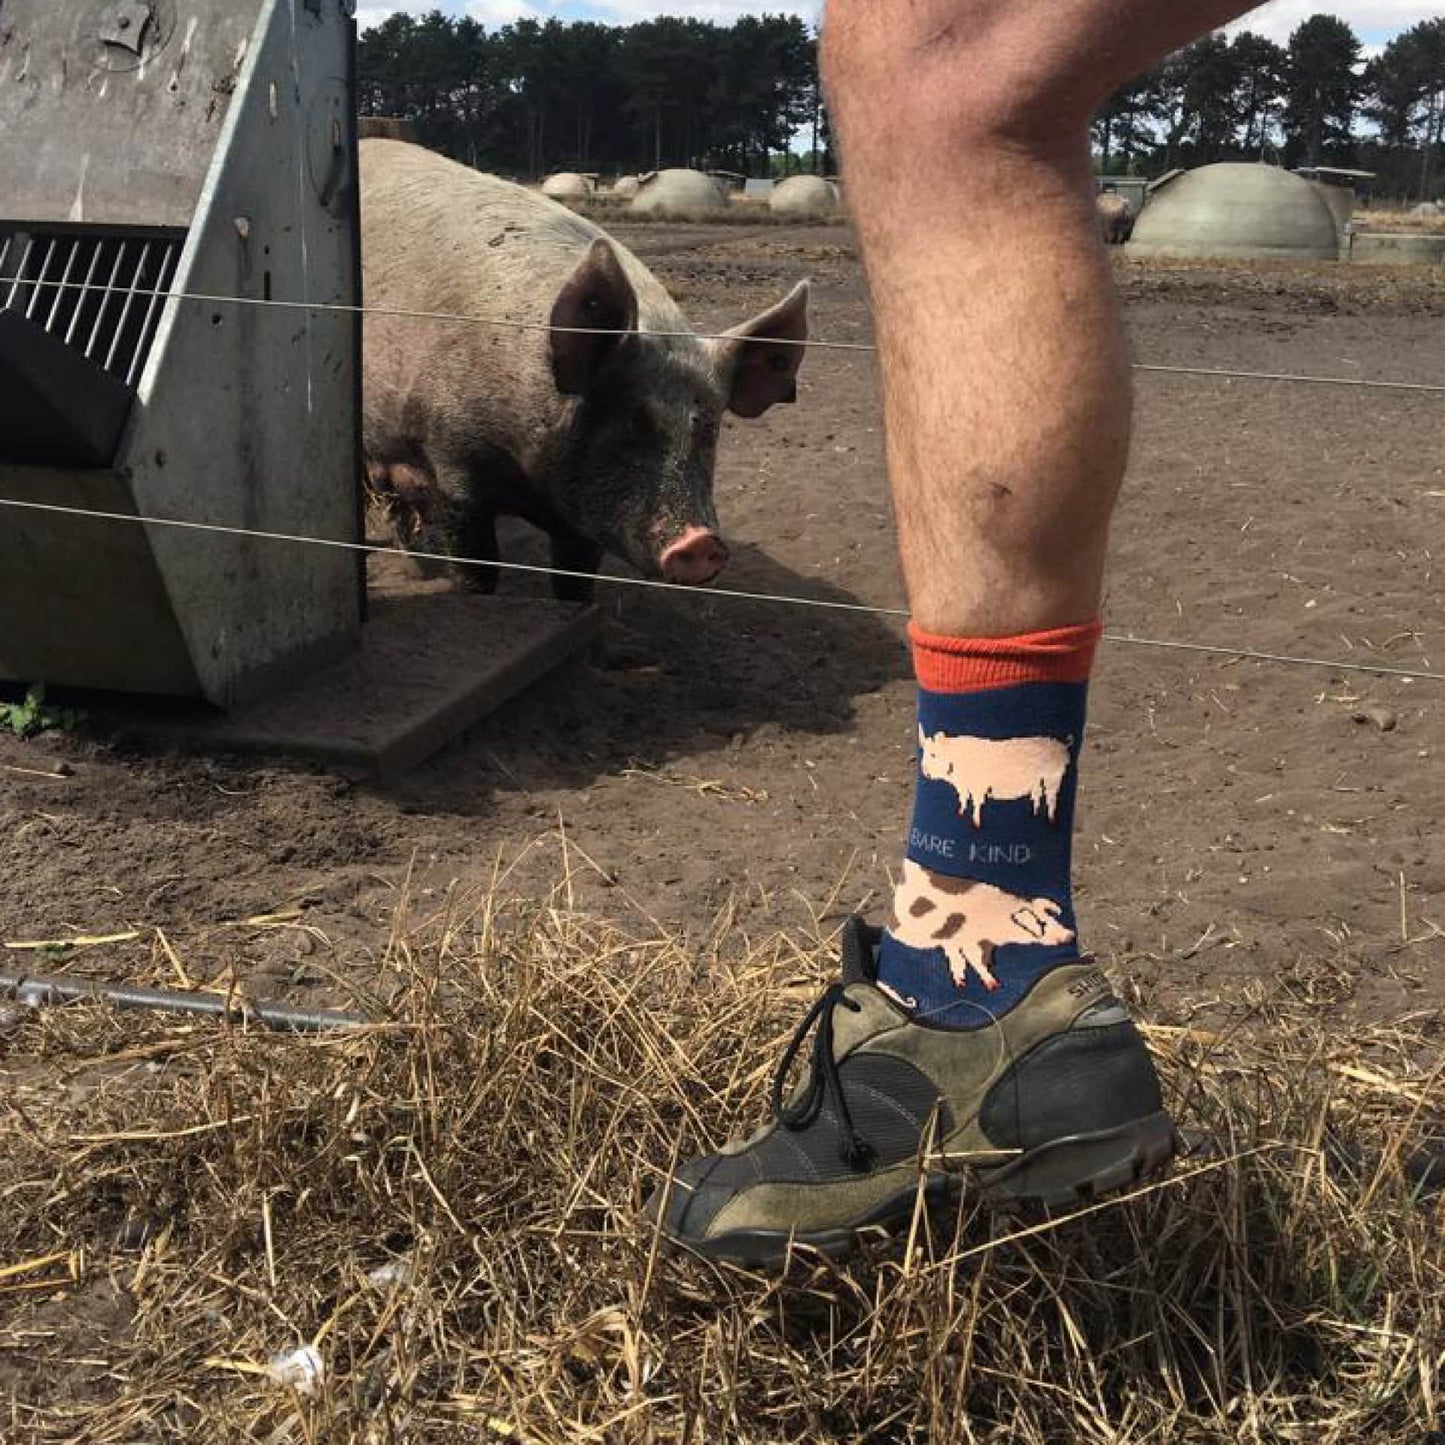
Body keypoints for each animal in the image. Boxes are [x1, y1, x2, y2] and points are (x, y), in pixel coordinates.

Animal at [359, 140, 809, 602]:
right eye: (631, 421)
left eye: (710, 425)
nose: (701, 543)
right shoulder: (453, 466)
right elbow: (476, 565)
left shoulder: (582, 520)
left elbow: (575, 579)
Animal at [889, 859, 1075, 990]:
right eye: (1042, 924)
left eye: (1052, 919)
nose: (1070, 934)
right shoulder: (969, 938)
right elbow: (972, 958)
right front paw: (993, 985)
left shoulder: (963, 941)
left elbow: (958, 956)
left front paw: (962, 982)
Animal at [917, 727, 1072, 829]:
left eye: (933, 754)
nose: (925, 772)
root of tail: (1063, 746)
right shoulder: (963, 786)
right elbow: (963, 798)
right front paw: (960, 813)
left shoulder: (978, 786)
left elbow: (977, 803)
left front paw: (976, 823)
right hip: (1037, 781)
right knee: (1037, 796)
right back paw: (1034, 815)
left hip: (1053, 779)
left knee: (1051, 799)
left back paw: (1051, 820)